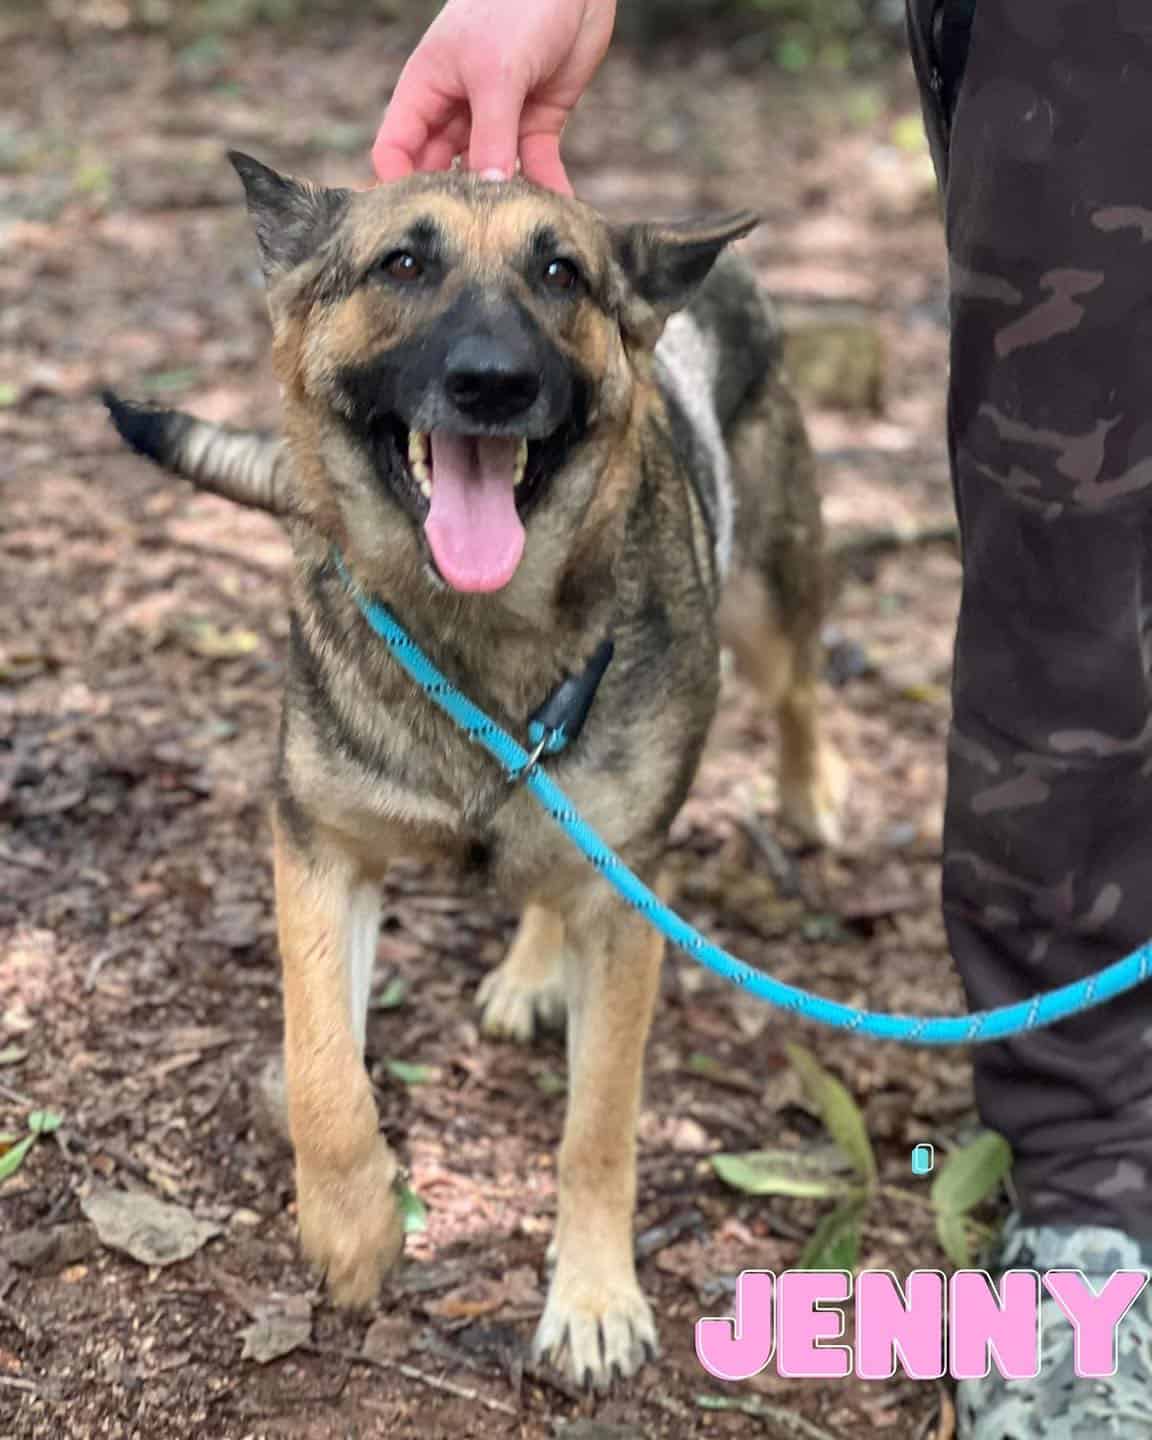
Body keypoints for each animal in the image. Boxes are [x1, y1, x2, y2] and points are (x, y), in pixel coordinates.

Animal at [105, 151, 846, 1388]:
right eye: (403, 262)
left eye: (562, 275)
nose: (493, 384)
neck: (477, 637)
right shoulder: (319, 849)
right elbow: (324, 1066)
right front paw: (353, 1224)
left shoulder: (628, 902)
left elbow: (598, 1124)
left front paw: (592, 1297)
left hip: (764, 605)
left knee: (792, 688)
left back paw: (811, 792)